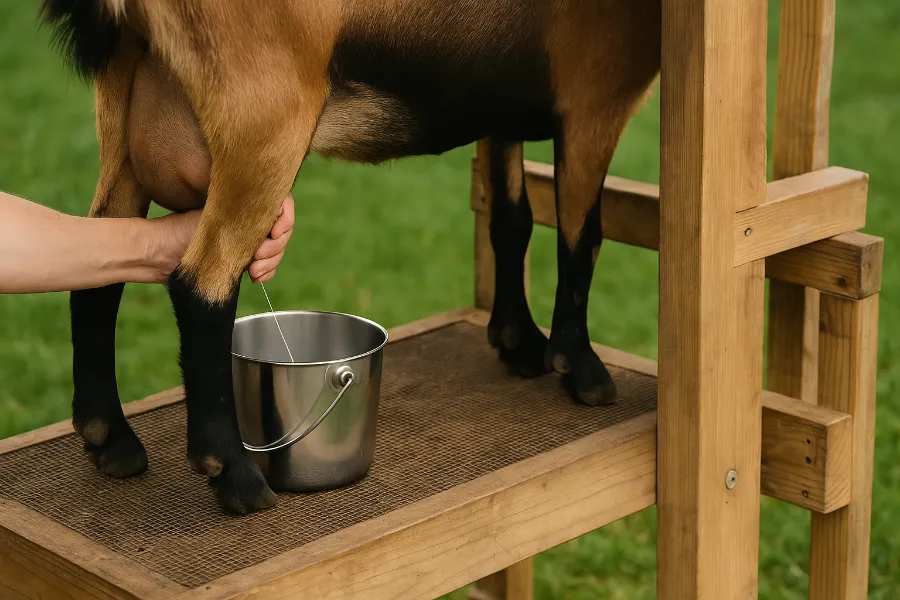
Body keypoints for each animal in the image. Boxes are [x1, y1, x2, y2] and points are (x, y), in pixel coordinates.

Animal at [41, 0, 661, 514]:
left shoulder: (501, 107)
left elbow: (513, 220)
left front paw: (520, 342)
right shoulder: (595, 96)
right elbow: (583, 236)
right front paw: (581, 369)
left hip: (124, 102)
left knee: (101, 260)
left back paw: (111, 439)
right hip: (263, 114)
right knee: (202, 282)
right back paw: (236, 477)